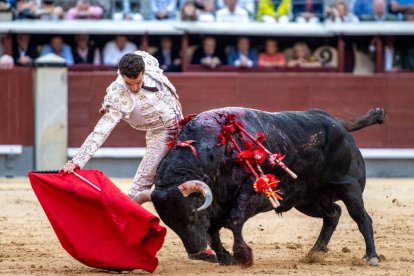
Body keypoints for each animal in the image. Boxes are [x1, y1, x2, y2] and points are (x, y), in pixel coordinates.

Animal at [150, 106, 384, 266]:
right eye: (170, 224)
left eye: (192, 214)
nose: (197, 254)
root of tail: (338, 123)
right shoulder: (216, 204)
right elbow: (213, 231)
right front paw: (226, 258)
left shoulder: (250, 190)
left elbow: (233, 220)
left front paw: (243, 256)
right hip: (308, 199)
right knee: (333, 213)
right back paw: (316, 251)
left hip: (349, 187)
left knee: (362, 218)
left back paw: (371, 256)